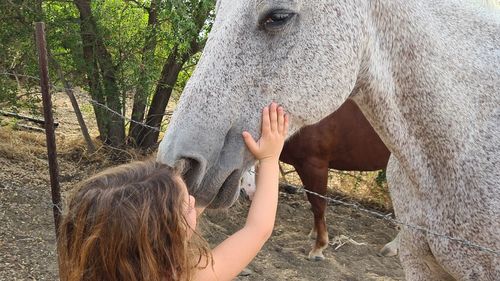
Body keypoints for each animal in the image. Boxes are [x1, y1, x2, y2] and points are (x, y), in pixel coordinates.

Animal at [242, 99, 390, 260]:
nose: (249, 193)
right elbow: (313, 202)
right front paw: (314, 233)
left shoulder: (314, 165)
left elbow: (318, 204)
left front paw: (319, 247)